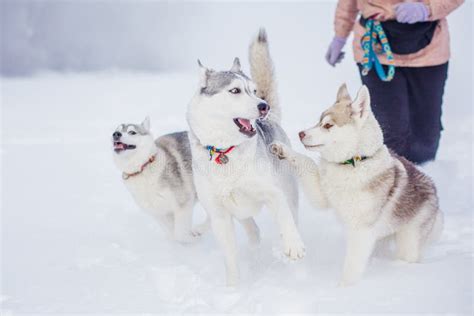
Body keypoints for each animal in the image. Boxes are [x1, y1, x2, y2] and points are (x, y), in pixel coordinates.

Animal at [186, 29, 304, 286]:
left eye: (254, 90)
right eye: (235, 91)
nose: (264, 106)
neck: (225, 152)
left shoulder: (272, 192)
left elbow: (284, 217)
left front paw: (292, 246)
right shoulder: (220, 215)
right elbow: (230, 257)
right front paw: (233, 288)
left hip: (287, 192)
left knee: (288, 218)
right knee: (252, 232)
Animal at [272, 84, 442, 286]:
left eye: (328, 125)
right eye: (318, 121)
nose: (300, 134)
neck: (353, 163)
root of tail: (434, 193)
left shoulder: (361, 232)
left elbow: (351, 268)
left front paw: (345, 289)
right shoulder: (322, 196)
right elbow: (306, 161)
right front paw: (283, 149)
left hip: (408, 242)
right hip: (381, 239)